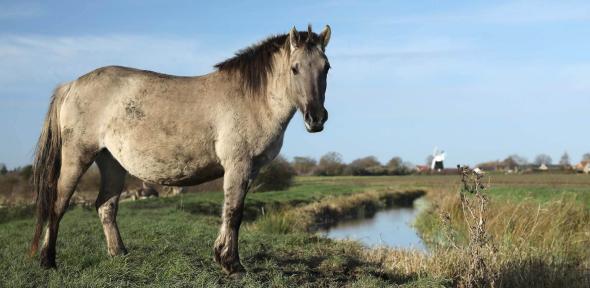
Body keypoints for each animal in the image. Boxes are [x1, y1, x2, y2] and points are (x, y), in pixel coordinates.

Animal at [30, 25, 330, 276]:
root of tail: (71, 86)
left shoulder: (250, 169)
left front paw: (223, 258)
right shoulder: (238, 165)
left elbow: (231, 211)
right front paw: (232, 265)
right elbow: (234, 212)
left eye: (326, 67)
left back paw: (120, 255)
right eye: (294, 68)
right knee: (58, 204)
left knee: (106, 206)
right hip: (77, 157)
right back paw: (48, 261)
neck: (251, 98)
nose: (316, 118)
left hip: (111, 162)